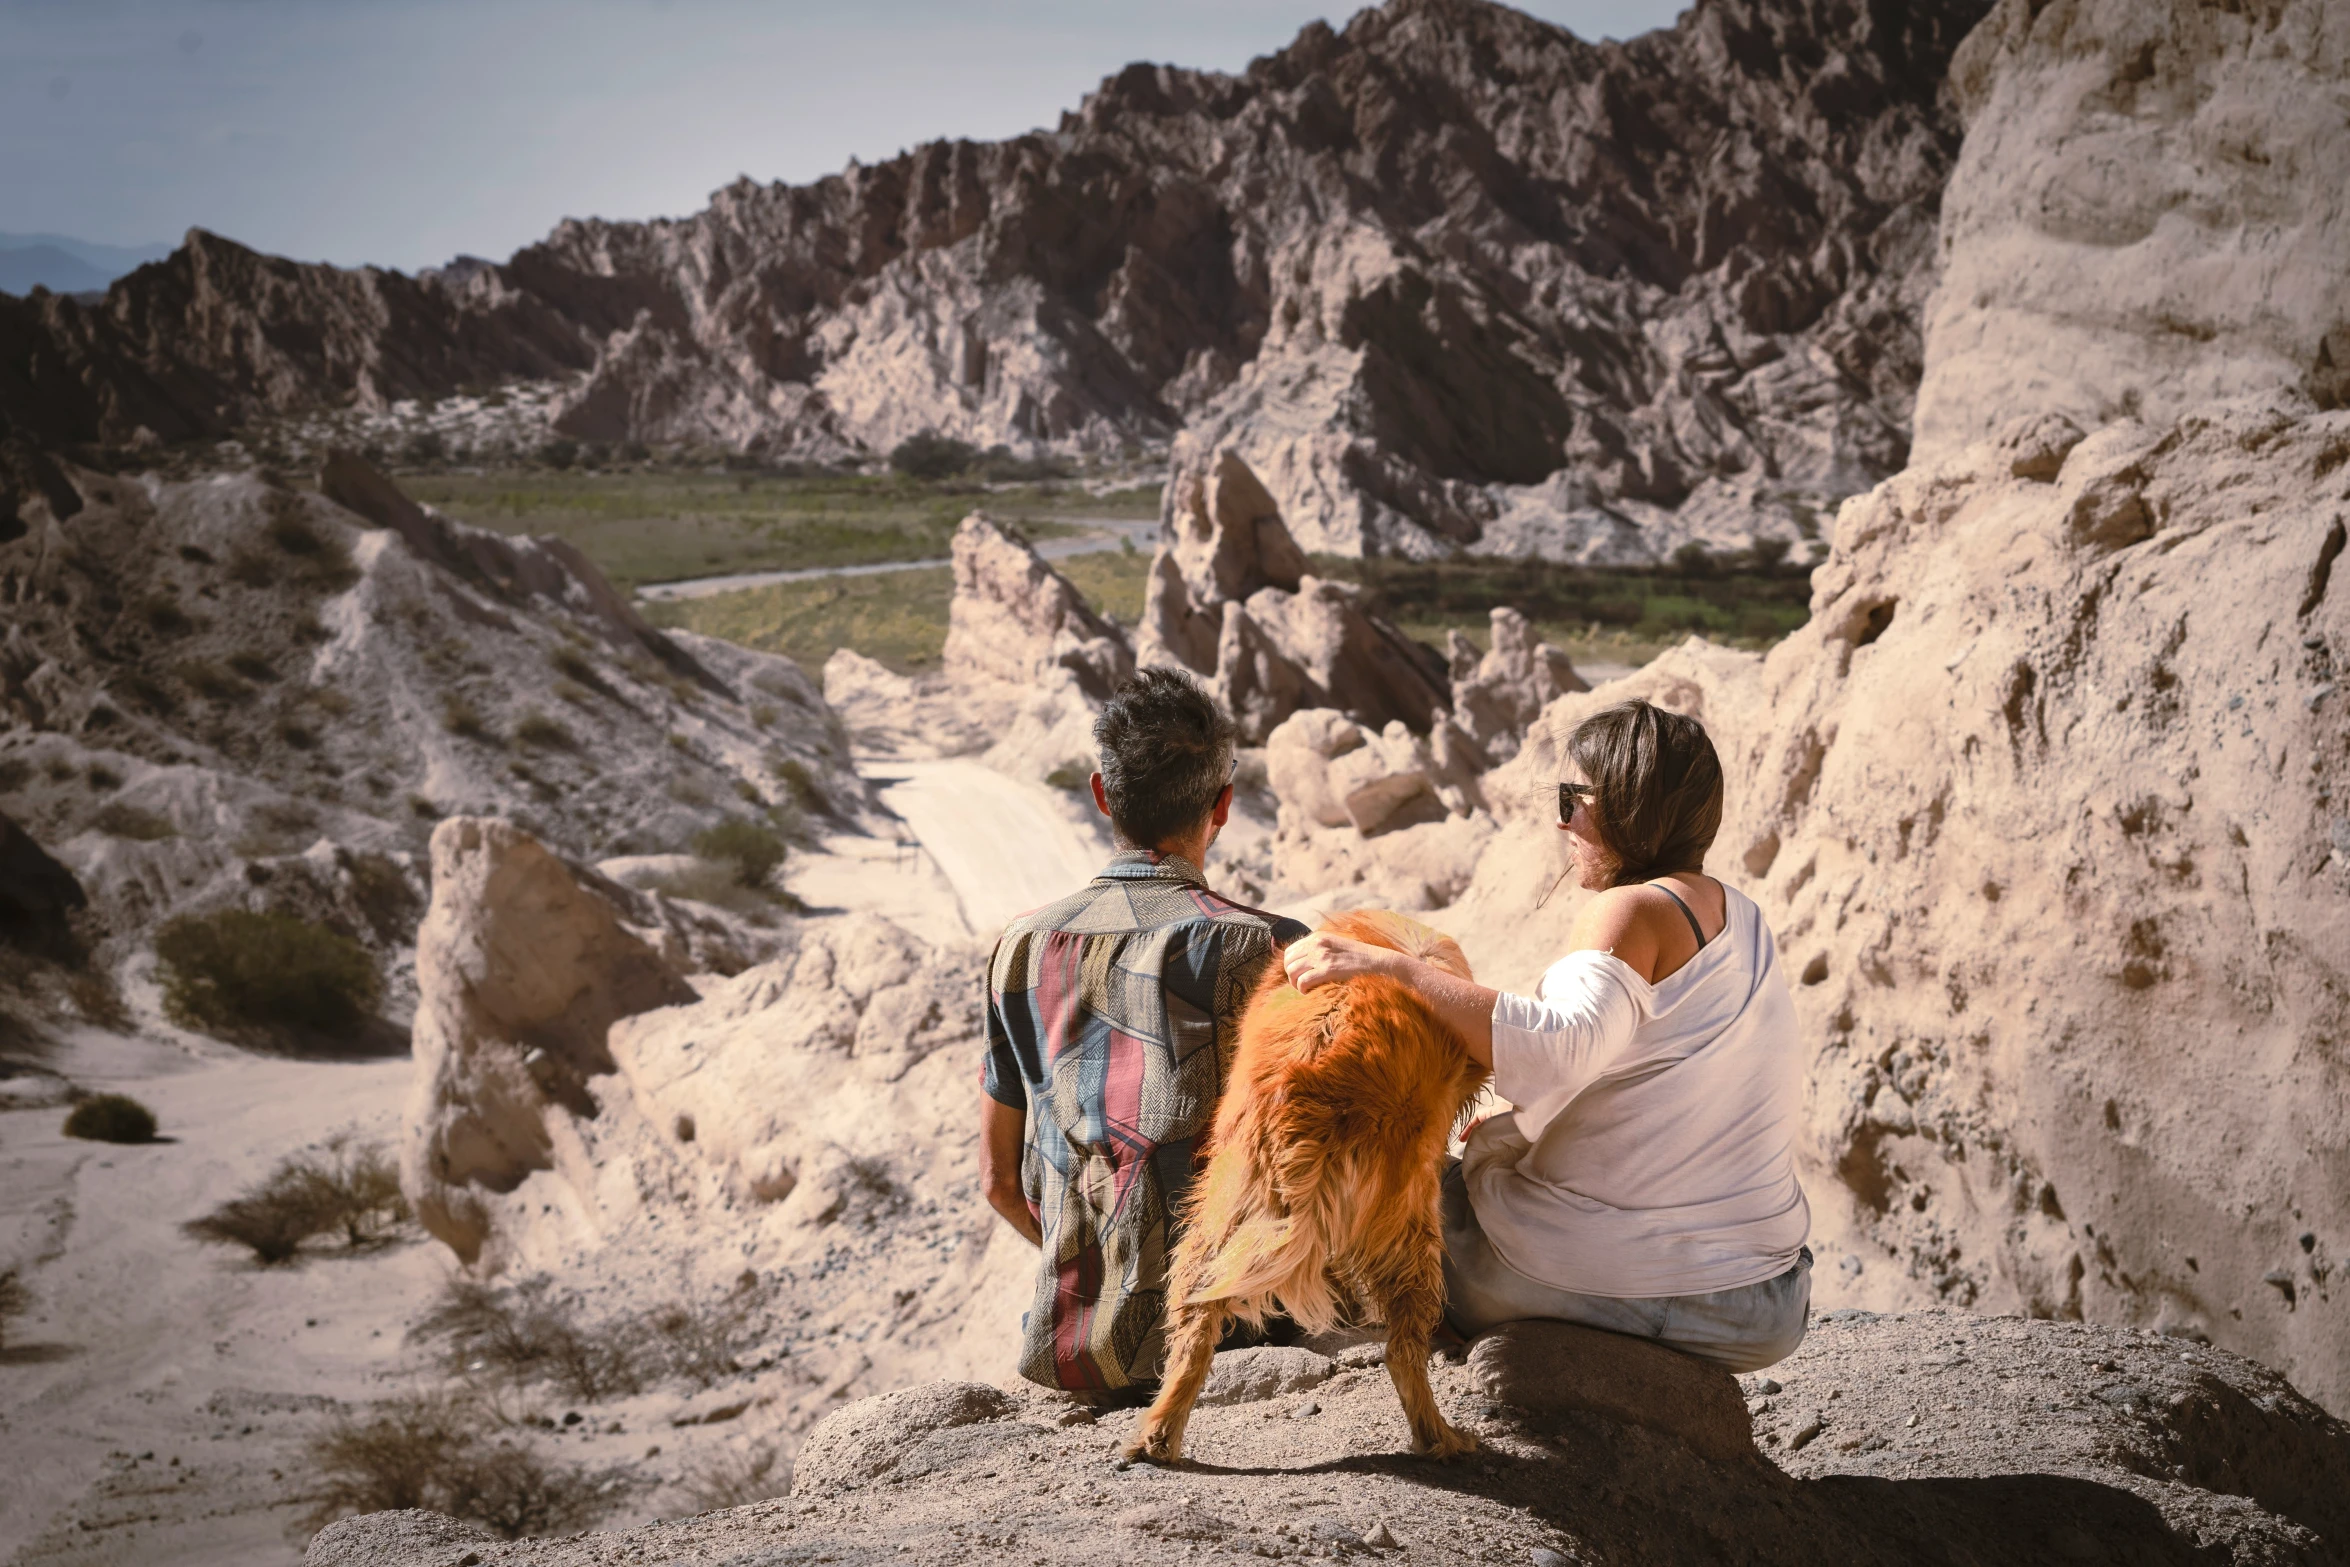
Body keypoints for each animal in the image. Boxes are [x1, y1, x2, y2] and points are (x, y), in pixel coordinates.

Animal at [1123, 911, 1485, 1465]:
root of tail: (1325, 1060)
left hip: (1224, 1214)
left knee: (1194, 1325)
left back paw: (1156, 1437)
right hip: (1409, 1226)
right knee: (1402, 1350)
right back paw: (1440, 1438)